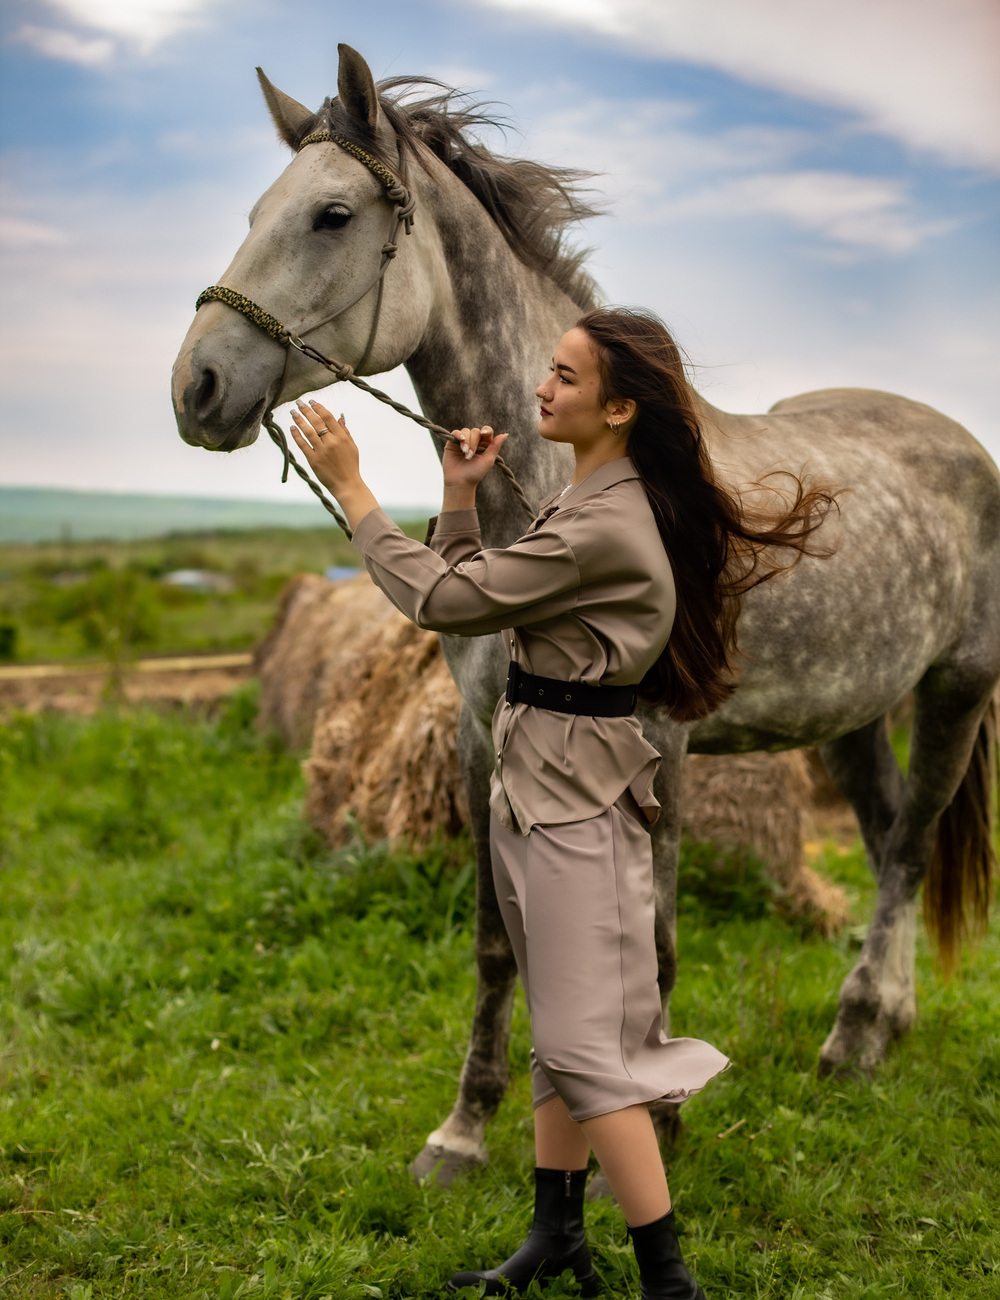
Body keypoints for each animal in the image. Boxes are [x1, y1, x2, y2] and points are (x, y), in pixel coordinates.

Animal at [174, 45, 998, 1190]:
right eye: (260, 210)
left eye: (331, 215)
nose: (197, 386)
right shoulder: (484, 739)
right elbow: (497, 941)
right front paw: (465, 1132)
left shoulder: (657, 745)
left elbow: (649, 946)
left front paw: (650, 1130)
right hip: (852, 716)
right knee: (884, 846)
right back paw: (882, 1031)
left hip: (955, 691)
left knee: (913, 846)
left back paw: (854, 1035)